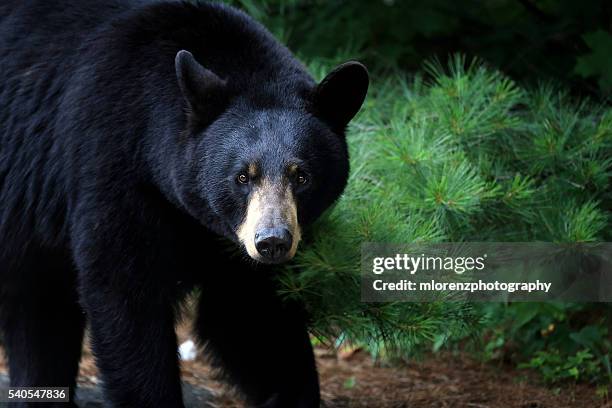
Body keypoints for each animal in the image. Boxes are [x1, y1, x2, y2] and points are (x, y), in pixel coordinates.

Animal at [0, 0, 368, 408]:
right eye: (243, 176)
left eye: (301, 176)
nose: (272, 241)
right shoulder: (111, 166)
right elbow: (125, 296)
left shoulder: (230, 243)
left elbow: (252, 316)